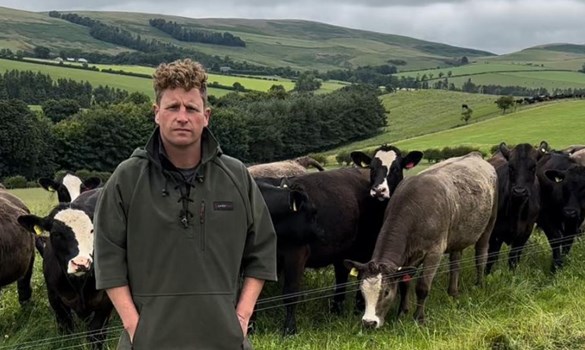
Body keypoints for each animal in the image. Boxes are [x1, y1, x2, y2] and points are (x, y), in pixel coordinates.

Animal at [344, 153, 496, 328]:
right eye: (362, 291)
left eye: (386, 292)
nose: (369, 322)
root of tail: (475, 155)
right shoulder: (408, 257)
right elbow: (404, 284)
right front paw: (402, 312)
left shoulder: (434, 252)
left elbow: (422, 286)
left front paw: (419, 318)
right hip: (458, 234)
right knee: (455, 262)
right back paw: (453, 292)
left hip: (489, 221)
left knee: (481, 254)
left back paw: (479, 284)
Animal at [484, 142, 544, 274]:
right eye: (511, 167)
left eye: (533, 167)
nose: (519, 191)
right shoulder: (495, 234)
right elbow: (491, 257)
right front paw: (487, 275)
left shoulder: (525, 232)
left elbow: (514, 257)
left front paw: (512, 274)